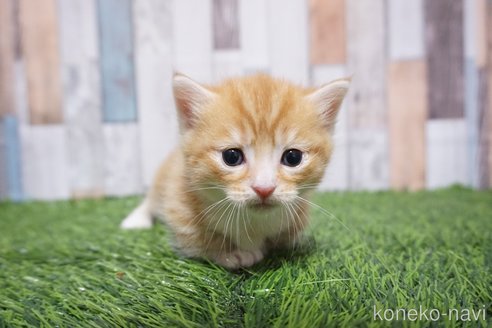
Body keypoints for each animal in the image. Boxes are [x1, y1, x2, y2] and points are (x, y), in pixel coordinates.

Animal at [122, 72, 350, 270]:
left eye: (293, 158)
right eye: (231, 157)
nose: (264, 188)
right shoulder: (178, 204)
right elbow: (199, 242)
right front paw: (231, 253)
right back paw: (136, 220)